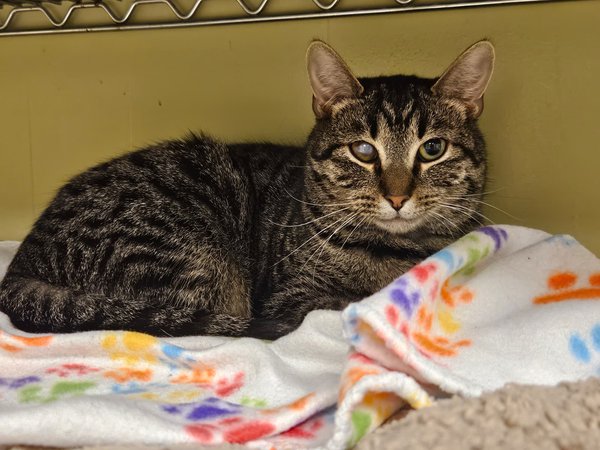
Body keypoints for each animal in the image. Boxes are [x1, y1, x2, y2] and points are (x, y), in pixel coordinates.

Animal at [0, 40, 494, 340]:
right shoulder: (292, 299)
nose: (397, 197)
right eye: (362, 150)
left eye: (432, 149)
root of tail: (21, 263)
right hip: (186, 263)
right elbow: (346, 302)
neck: (394, 252)